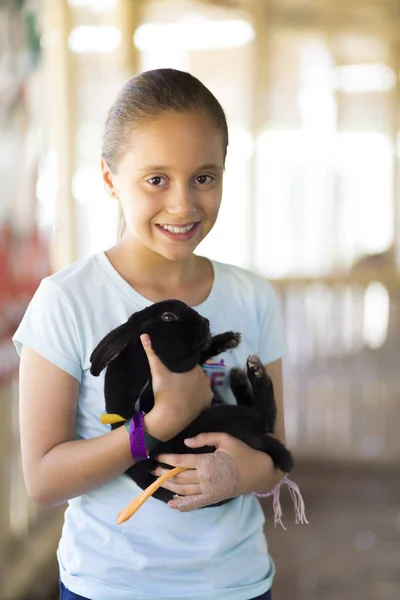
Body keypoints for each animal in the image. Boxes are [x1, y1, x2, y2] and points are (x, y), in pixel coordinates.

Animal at [89, 298, 292, 504]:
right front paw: (223, 340)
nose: (206, 322)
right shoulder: (176, 364)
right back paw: (254, 372)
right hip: (224, 418)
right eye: (168, 316)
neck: (141, 349)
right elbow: (198, 355)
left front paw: (228, 338)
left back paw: (239, 378)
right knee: (265, 419)